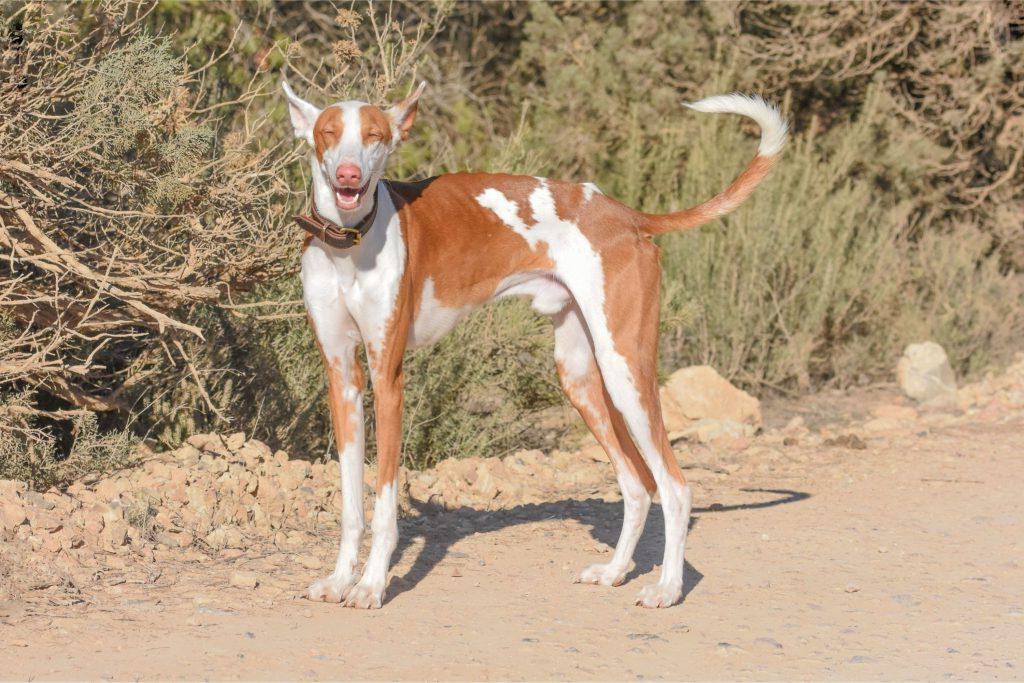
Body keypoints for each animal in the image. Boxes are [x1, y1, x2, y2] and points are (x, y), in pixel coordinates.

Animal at [280, 78, 782, 610]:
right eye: (329, 133)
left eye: (375, 135)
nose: (349, 174)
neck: (348, 246)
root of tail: (625, 215)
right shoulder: (344, 380)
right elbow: (352, 505)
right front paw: (338, 580)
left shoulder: (388, 380)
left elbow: (383, 506)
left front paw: (372, 585)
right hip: (579, 376)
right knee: (637, 484)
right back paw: (616, 571)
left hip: (625, 368)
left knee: (674, 486)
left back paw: (667, 587)